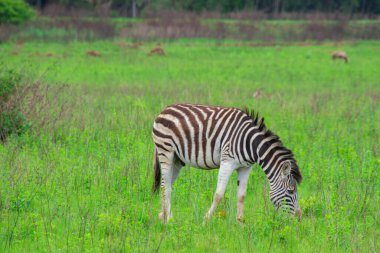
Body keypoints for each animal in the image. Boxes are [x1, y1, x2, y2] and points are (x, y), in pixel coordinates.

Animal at [152, 104, 302, 222]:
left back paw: (163, 215)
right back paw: (168, 219)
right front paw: (206, 220)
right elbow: (219, 194)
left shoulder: (245, 167)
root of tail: (165, 109)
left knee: (166, 184)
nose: (298, 218)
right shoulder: (227, 162)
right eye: (291, 191)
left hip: (177, 160)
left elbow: (241, 196)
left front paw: (240, 223)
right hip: (166, 151)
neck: (251, 144)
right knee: (165, 186)